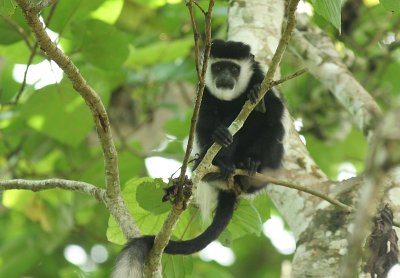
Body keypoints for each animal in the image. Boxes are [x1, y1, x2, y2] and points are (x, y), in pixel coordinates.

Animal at [111, 39, 284, 278]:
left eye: (234, 69)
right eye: (218, 68)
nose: (225, 77)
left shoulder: (261, 77)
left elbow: (275, 112)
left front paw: (259, 102)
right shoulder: (204, 92)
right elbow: (203, 123)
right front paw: (218, 136)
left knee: (273, 130)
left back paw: (250, 167)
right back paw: (220, 165)